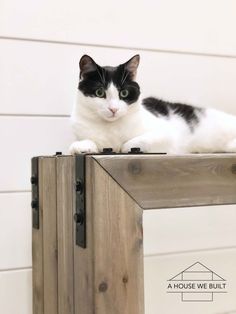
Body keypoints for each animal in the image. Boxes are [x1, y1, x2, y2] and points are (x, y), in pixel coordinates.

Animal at [70, 55, 236, 156]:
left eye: (124, 93)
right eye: (99, 92)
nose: (113, 109)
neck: (111, 128)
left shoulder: (167, 135)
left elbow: (133, 142)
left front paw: (123, 147)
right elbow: (79, 143)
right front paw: (81, 147)